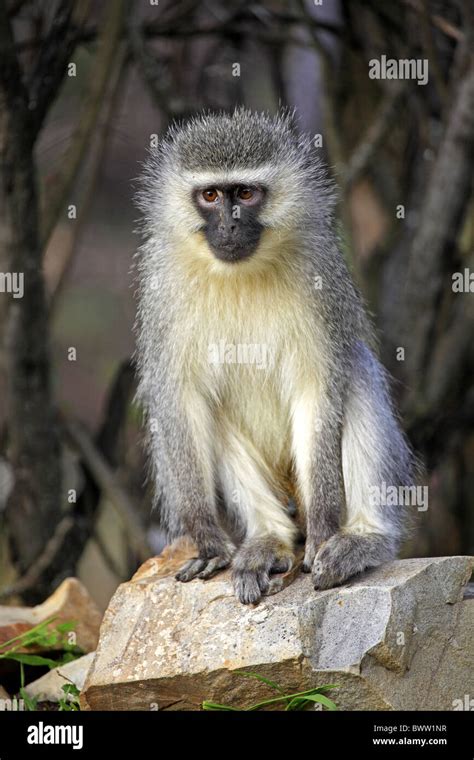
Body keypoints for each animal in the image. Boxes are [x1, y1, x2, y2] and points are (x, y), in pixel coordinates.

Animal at [132, 108, 412, 604]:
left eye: (246, 193)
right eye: (210, 195)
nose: (229, 225)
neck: (239, 274)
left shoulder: (321, 274)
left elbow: (319, 387)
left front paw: (324, 529)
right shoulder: (161, 287)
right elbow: (180, 399)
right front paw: (207, 539)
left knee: (356, 367)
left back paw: (364, 538)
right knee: (213, 411)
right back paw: (269, 539)